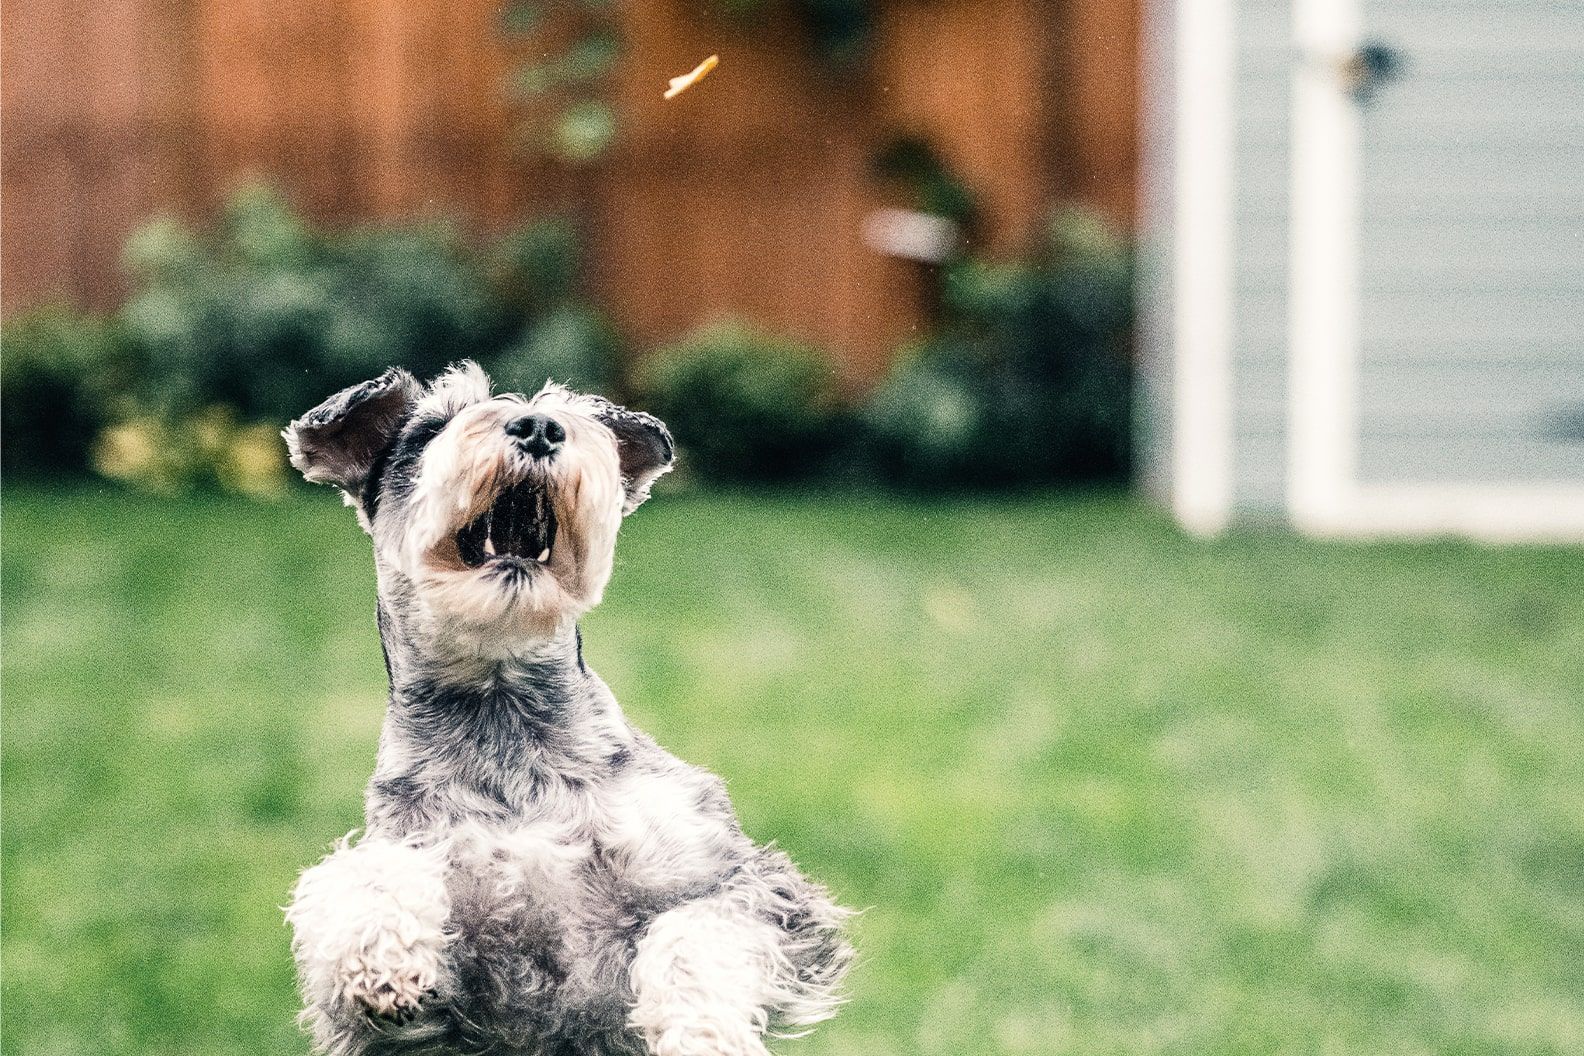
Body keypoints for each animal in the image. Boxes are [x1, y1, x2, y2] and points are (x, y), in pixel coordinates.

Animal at [285, 367, 855, 1056]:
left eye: (560, 416)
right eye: (428, 430)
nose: (538, 427)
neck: (502, 715)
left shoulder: (746, 881)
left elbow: (698, 934)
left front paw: (701, 1029)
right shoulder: (415, 1014)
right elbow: (361, 875)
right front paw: (383, 956)